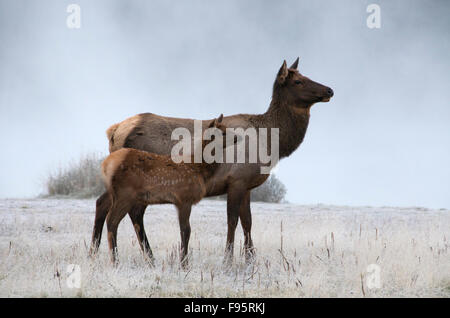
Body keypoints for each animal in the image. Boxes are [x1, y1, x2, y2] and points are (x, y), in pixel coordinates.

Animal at [102, 115, 229, 266]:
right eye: (223, 132)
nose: (238, 137)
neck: (200, 169)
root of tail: (104, 165)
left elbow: (184, 230)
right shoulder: (184, 198)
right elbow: (186, 230)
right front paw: (184, 264)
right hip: (124, 194)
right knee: (111, 220)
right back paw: (115, 261)